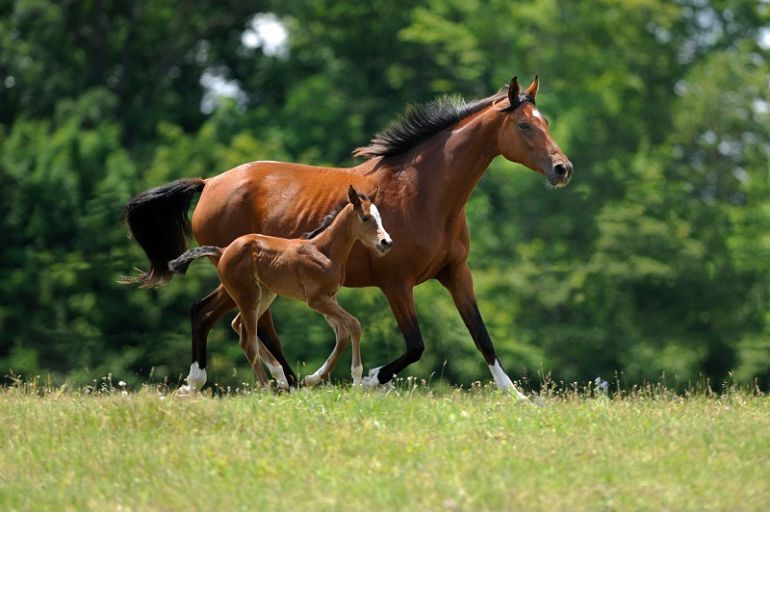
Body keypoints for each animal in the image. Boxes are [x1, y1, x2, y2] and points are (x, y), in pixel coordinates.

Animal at [166, 186, 391, 389]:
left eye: (380, 217)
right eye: (365, 218)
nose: (386, 242)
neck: (324, 251)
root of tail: (223, 250)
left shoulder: (329, 298)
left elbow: (342, 335)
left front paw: (313, 378)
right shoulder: (316, 300)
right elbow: (354, 325)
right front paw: (357, 379)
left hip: (264, 294)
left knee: (238, 325)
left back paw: (280, 376)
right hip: (248, 296)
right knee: (248, 342)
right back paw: (268, 389)